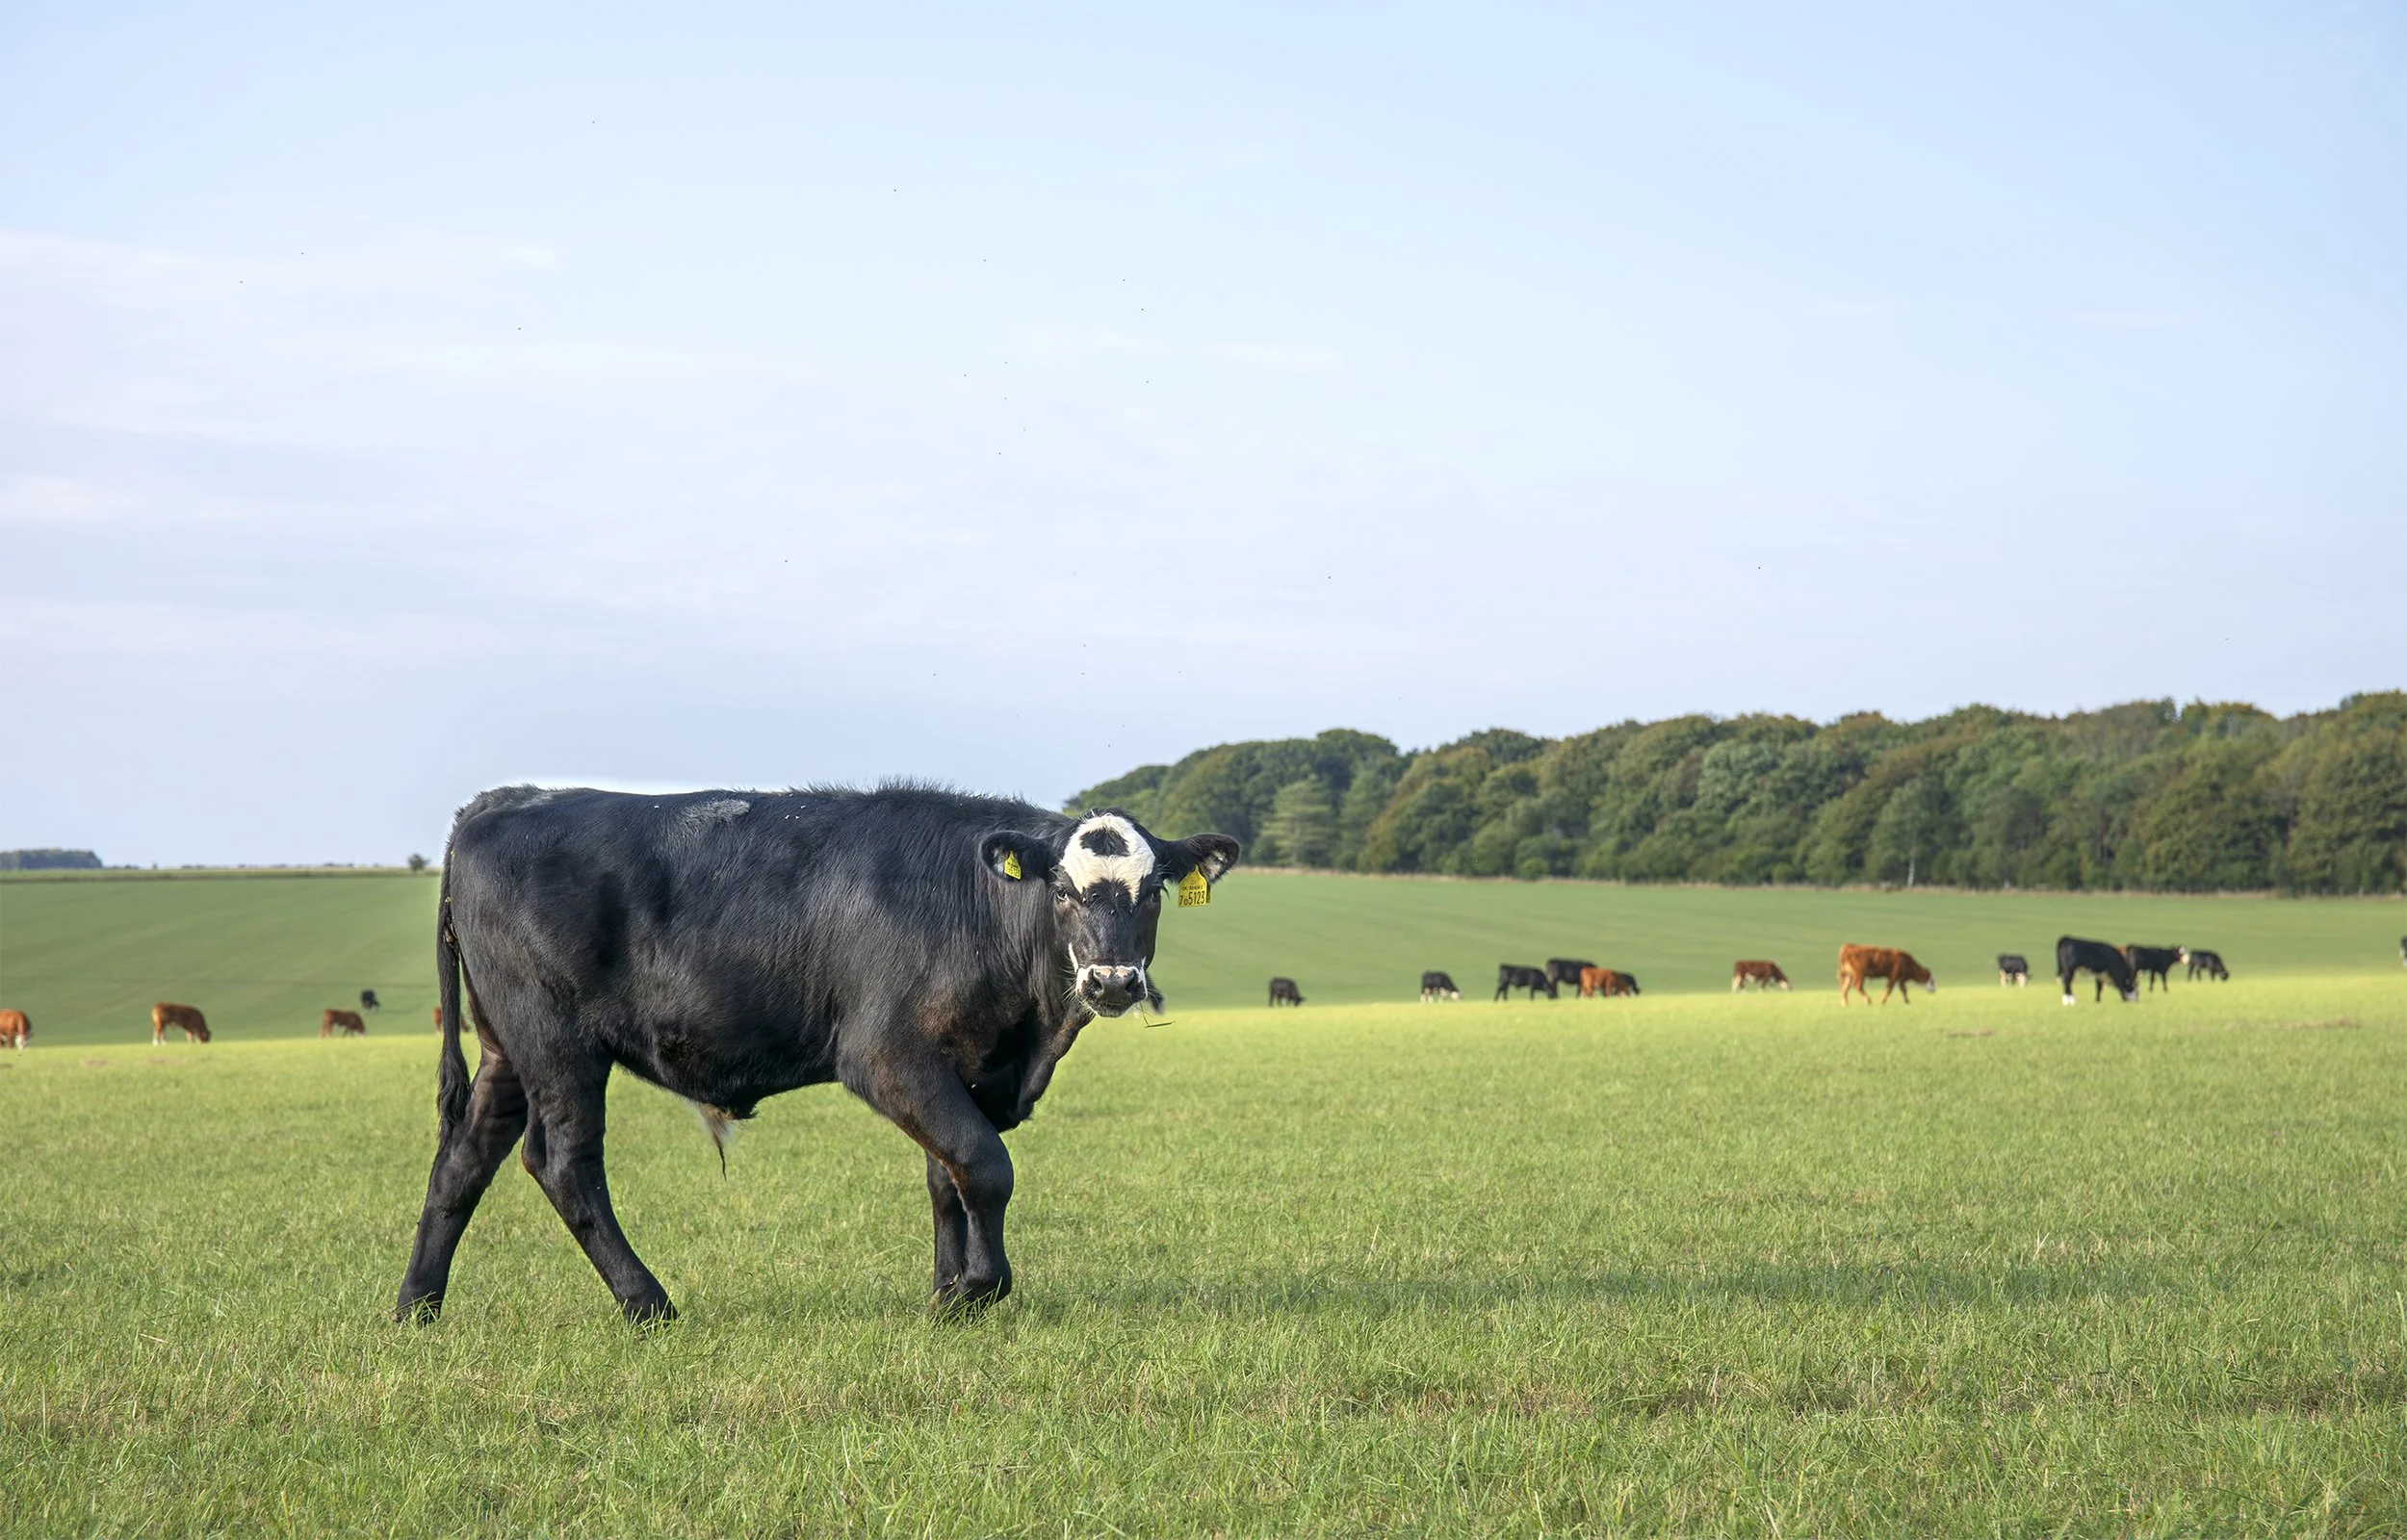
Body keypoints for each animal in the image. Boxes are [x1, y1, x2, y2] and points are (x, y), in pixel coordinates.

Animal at [394, 784, 1239, 1326]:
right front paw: (979, 1289)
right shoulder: (887, 1054)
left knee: (465, 1159)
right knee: (563, 1162)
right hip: (556, 1042)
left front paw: (947, 1293)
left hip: (505, 1046)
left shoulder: (957, 1063)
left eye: (1154, 890)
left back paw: (417, 1308)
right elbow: (985, 1165)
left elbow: (949, 1178)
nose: (1111, 980)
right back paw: (648, 1304)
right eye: (1061, 888)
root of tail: (505, 801)